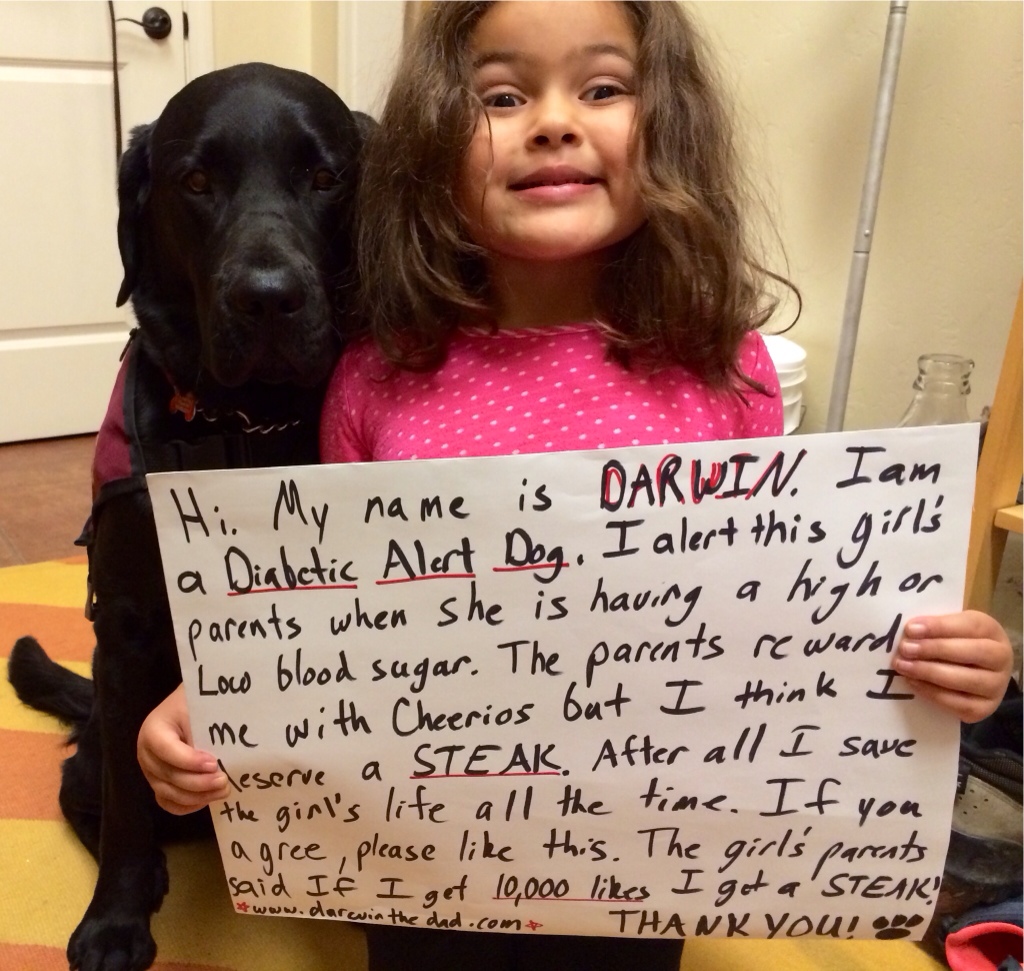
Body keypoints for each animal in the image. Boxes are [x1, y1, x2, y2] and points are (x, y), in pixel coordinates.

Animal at [8, 62, 371, 971]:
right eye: (196, 182)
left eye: (326, 177)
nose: (270, 299)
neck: (245, 425)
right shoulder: (128, 622)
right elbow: (130, 804)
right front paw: (114, 921)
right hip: (95, 744)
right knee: (93, 793)